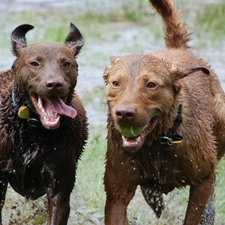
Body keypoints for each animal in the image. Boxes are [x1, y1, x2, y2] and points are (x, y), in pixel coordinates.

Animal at [103, 0, 225, 225]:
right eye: (116, 83)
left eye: (151, 84)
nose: (124, 113)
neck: (157, 142)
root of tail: (177, 48)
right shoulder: (116, 194)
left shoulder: (201, 180)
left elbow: (199, 206)